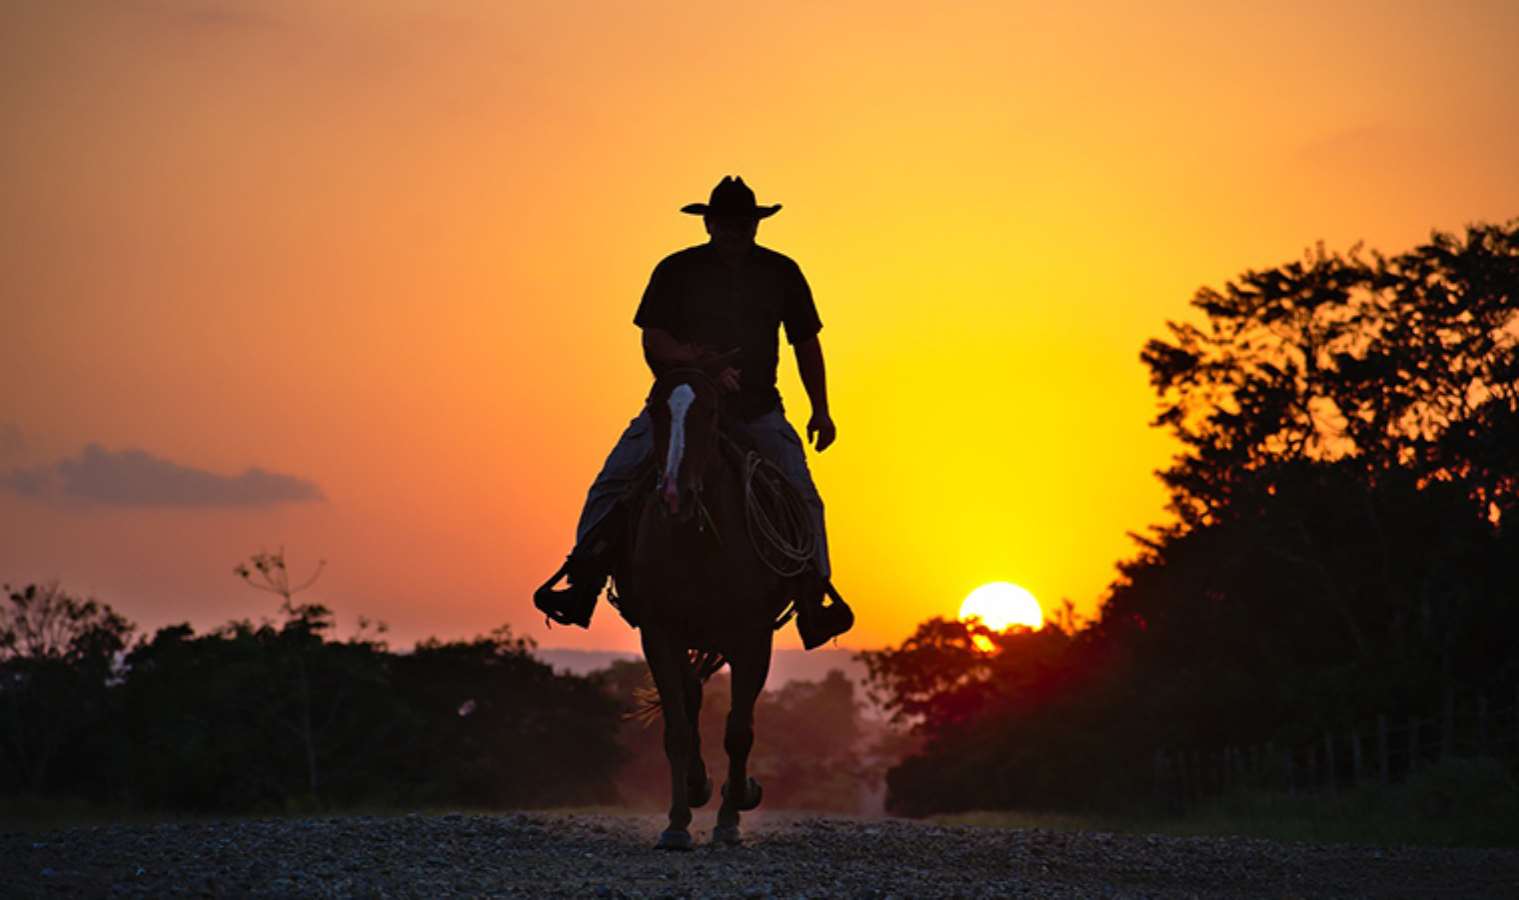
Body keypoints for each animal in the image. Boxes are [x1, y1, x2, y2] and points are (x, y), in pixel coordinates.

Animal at [625, 364, 795, 851]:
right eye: (655, 410)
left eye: (712, 411)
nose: (674, 495)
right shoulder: (659, 634)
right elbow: (678, 731)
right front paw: (678, 823)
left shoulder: (752, 639)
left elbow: (739, 731)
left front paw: (733, 812)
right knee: (691, 699)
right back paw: (697, 786)